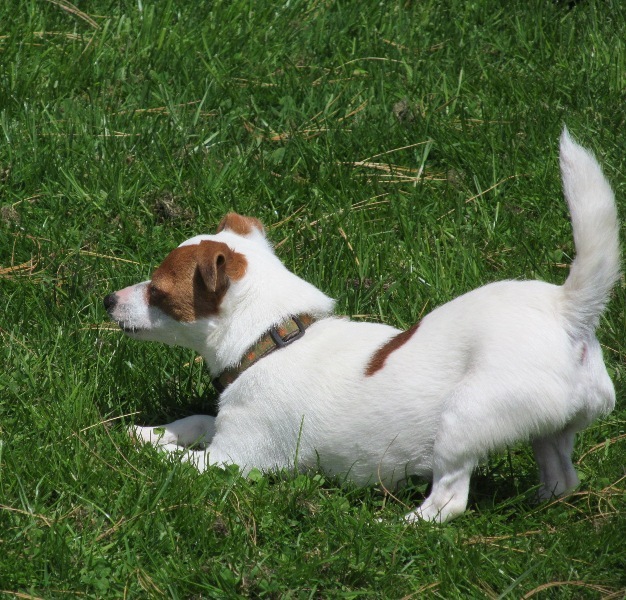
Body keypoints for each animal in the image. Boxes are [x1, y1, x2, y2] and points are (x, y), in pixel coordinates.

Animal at [105, 129, 616, 524]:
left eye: (157, 291)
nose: (109, 299)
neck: (275, 338)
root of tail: (566, 311)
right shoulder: (227, 427)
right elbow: (193, 419)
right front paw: (147, 431)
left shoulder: (232, 458)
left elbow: (176, 458)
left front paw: (139, 446)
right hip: (550, 430)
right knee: (561, 476)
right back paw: (533, 501)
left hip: (463, 419)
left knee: (448, 500)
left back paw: (393, 525)